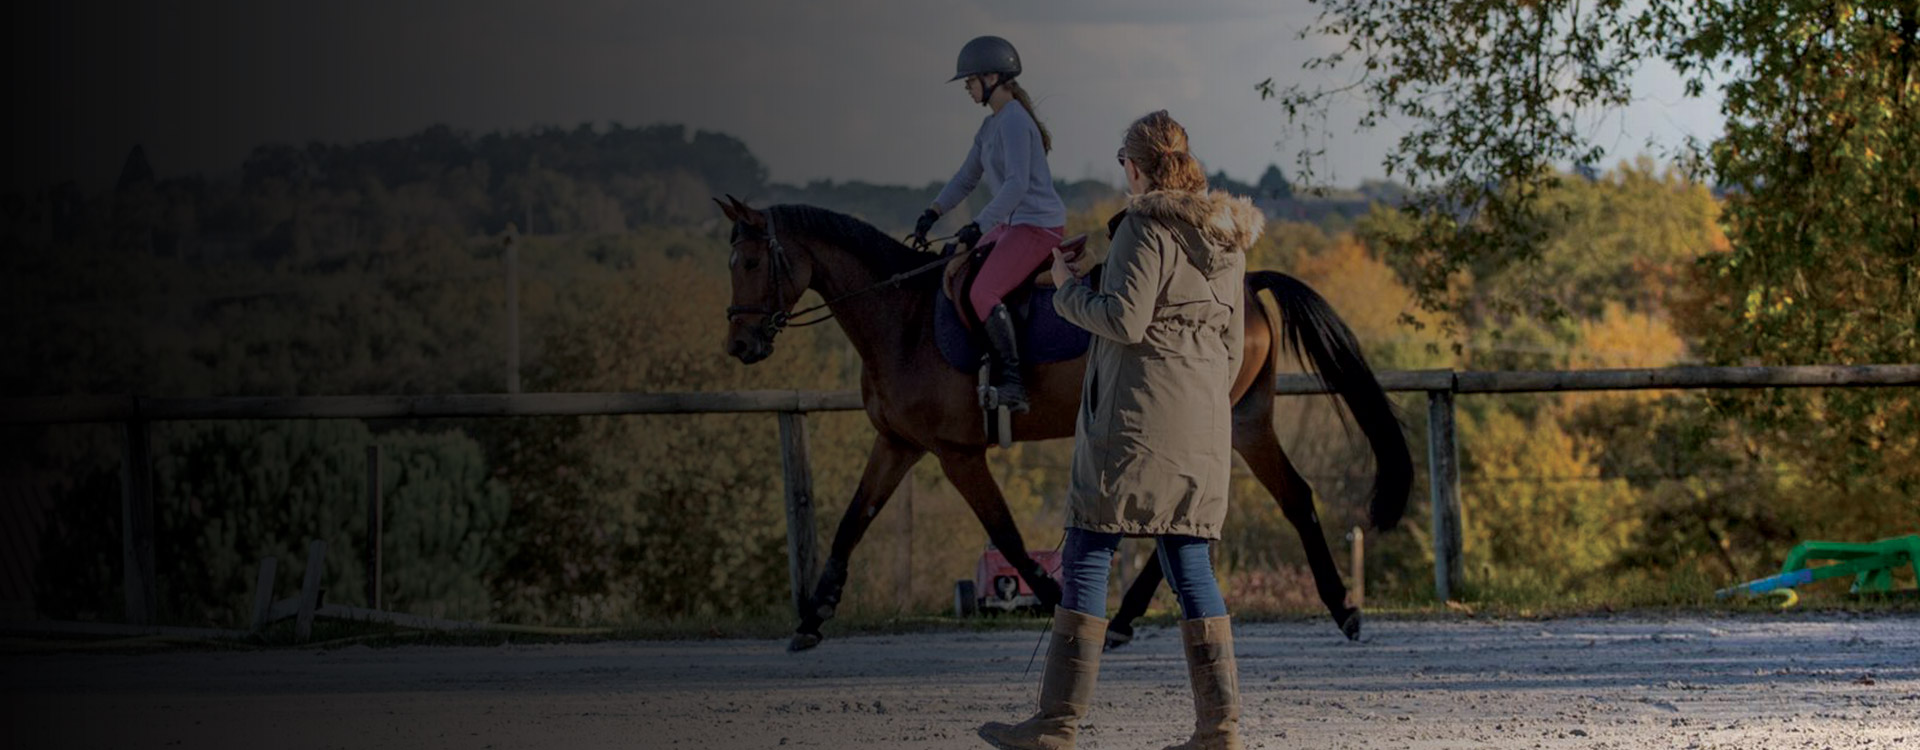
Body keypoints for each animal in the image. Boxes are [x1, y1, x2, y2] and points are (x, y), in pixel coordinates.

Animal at [721, 198, 1413, 652]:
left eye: (751, 262)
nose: (740, 345)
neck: (903, 317)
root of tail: (1247, 284)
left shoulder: (956, 452)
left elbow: (1004, 533)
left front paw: (1055, 603)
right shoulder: (897, 444)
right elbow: (852, 521)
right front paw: (812, 618)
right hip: (1244, 421)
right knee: (1288, 497)